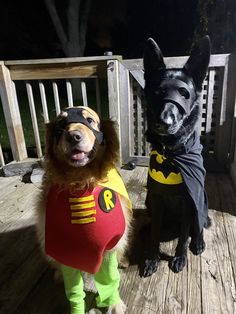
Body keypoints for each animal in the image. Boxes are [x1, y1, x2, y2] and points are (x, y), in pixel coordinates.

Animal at [37, 106, 132, 312]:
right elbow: (74, 292)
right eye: (60, 124)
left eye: (90, 120)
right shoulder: (67, 251)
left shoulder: (109, 245)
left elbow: (110, 281)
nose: (73, 136)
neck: (81, 181)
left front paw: (114, 304)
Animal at [141, 36, 211, 278]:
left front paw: (180, 257)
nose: (164, 122)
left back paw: (198, 242)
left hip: (200, 201)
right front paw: (152, 259)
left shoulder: (190, 201)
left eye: (184, 93)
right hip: (149, 202)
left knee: (197, 226)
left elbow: (183, 236)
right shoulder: (156, 198)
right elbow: (154, 235)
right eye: (157, 92)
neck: (171, 153)